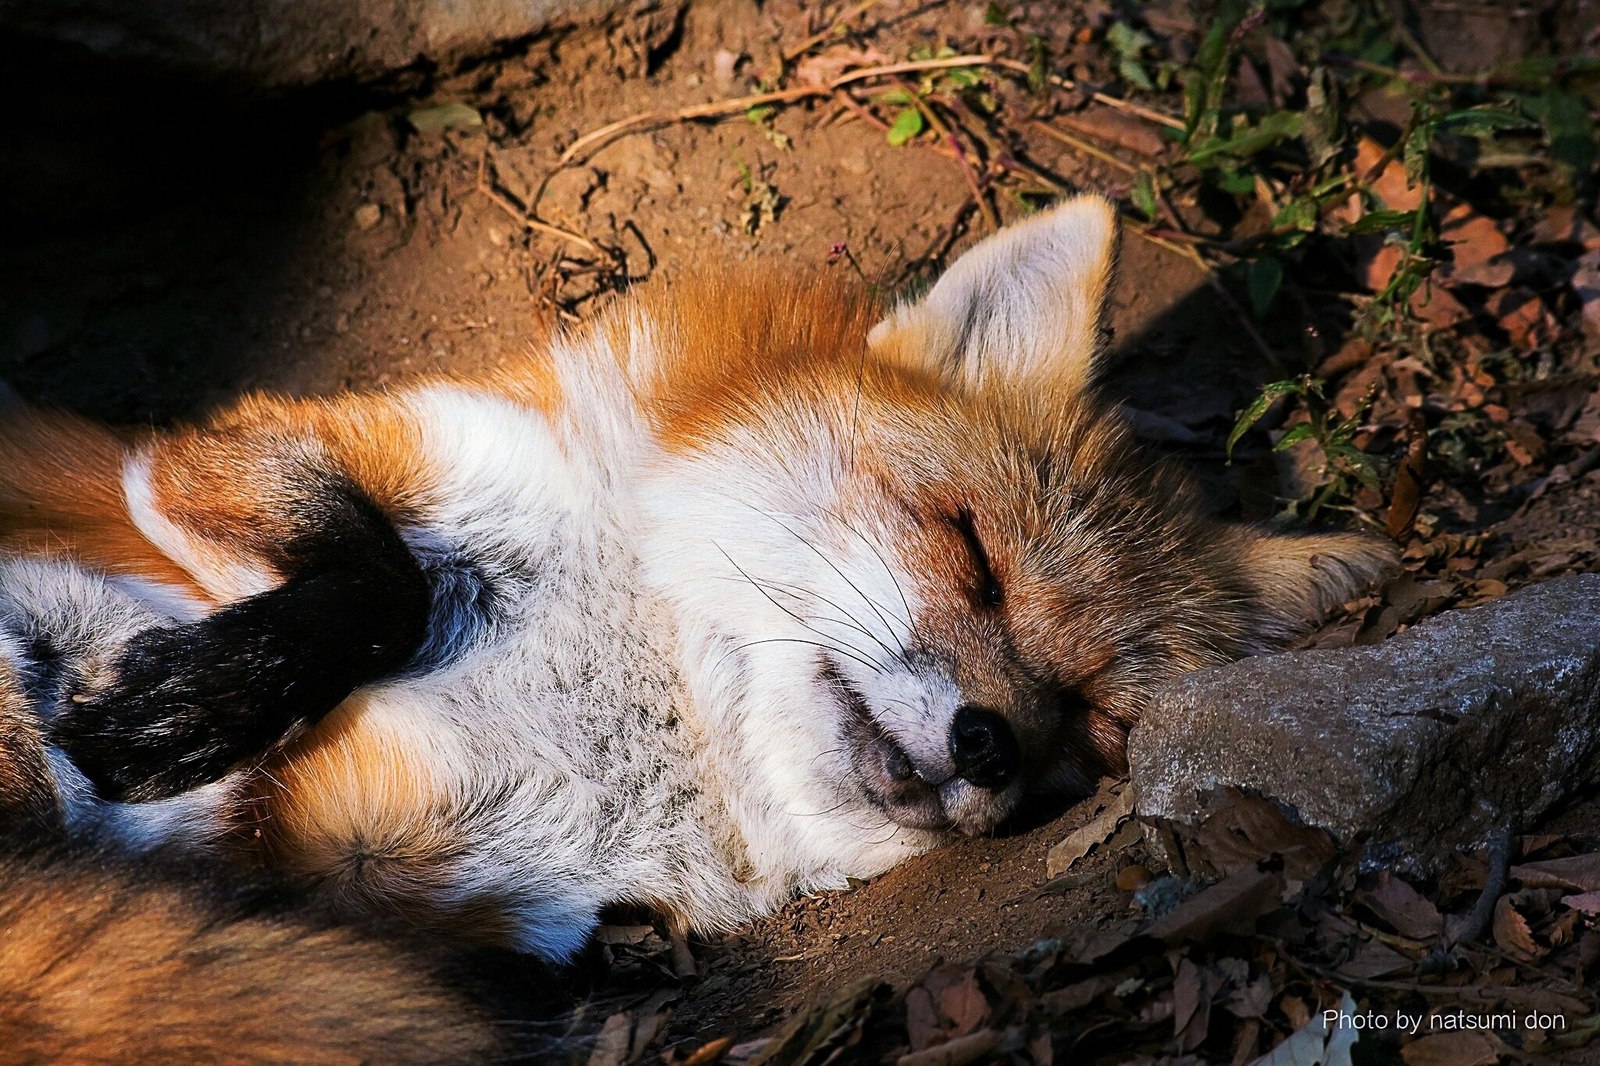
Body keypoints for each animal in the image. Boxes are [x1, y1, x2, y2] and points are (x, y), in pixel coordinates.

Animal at [0, 196, 1388, 1056]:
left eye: (1089, 726)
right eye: (973, 556)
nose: (991, 743)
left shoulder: (389, 866)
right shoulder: (270, 452)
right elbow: (378, 581)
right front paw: (179, 710)